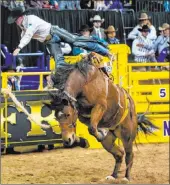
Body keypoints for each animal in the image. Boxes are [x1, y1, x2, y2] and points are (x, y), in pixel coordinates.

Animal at [46, 56, 158, 184]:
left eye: (68, 114)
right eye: (56, 118)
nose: (66, 140)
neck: (84, 82)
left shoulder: (100, 106)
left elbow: (91, 128)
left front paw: (96, 135)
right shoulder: (82, 114)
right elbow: (87, 126)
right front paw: (83, 141)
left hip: (127, 136)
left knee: (129, 155)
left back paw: (126, 177)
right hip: (108, 142)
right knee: (119, 154)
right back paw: (113, 175)